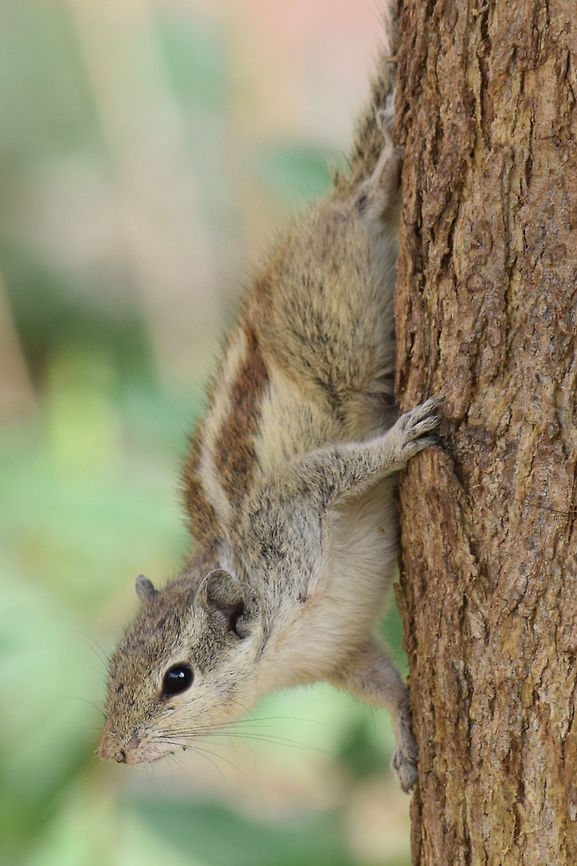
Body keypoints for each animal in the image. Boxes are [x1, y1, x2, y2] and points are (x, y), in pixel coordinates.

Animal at [97, 1, 440, 794]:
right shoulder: (342, 652)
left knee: (359, 206)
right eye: (112, 672)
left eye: (177, 678)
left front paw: (396, 443)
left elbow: (324, 472)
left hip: (331, 314)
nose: (113, 752)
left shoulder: (283, 520)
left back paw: (384, 163)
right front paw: (406, 744)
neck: (277, 651)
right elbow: (387, 687)